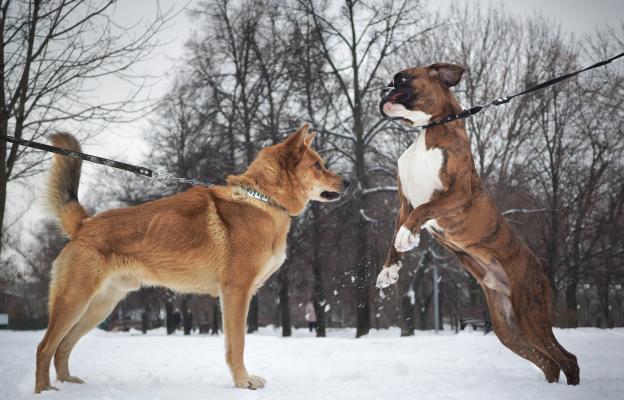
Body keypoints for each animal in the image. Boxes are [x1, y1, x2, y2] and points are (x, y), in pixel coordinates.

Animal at [34, 123, 348, 392]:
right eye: (318, 165)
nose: (348, 181)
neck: (263, 199)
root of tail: (84, 224)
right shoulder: (236, 292)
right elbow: (237, 344)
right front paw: (243, 382)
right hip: (74, 300)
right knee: (45, 347)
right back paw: (45, 390)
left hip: (99, 307)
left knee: (63, 347)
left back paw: (67, 385)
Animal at [376, 64, 580, 386]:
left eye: (402, 78)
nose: (383, 88)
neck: (431, 129)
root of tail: (540, 264)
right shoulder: (404, 203)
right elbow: (396, 235)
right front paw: (389, 270)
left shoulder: (457, 194)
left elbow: (423, 211)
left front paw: (408, 235)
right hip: (507, 327)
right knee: (548, 362)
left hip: (530, 314)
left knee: (567, 359)